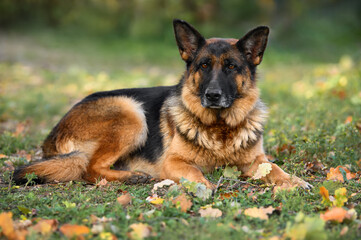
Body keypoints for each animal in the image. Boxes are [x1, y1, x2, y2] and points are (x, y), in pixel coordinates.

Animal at [14, 19, 310, 189]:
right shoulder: (174, 162)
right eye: (204, 65)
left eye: (231, 67)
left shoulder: (257, 160)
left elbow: (275, 168)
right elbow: (194, 173)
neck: (220, 129)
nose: (212, 95)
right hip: (130, 113)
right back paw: (133, 177)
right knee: (89, 169)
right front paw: (203, 187)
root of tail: (53, 135)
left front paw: (294, 180)